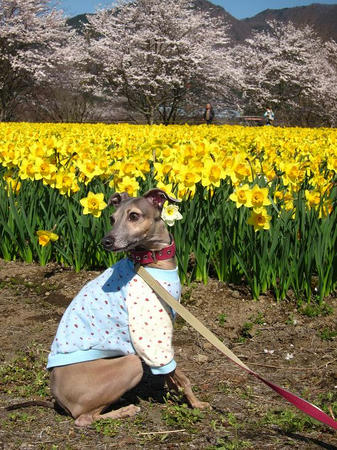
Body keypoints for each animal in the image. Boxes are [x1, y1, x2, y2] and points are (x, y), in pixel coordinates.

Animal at [47, 188, 209, 428]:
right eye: (112, 219)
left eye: (133, 216)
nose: (106, 241)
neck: (152, 262)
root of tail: (58, 396)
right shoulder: (152, 338)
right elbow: (179, 374)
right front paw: (196, 403)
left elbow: (171, 375)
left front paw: (176, 393)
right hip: (129, 365)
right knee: (84, 418)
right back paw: (125, 410)